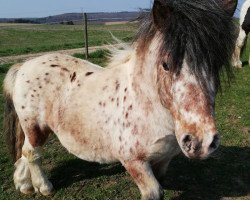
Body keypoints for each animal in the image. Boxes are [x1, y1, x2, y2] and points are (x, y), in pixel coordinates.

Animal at [2, 0, 237, 199]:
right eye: (166, 64)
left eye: (217, 64)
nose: (201, 142)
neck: (148, 108)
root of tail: (24, 66)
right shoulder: (134, 162)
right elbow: (153, 192)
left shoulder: (163, 161)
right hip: (35, 127)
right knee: (32, 153)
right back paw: (44, 187)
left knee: (24, 153)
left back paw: (24, 185)